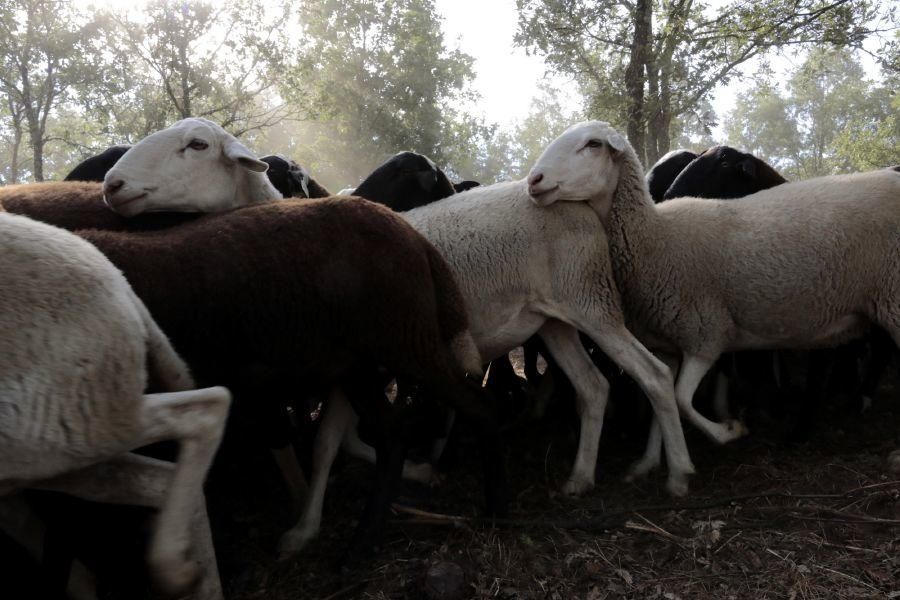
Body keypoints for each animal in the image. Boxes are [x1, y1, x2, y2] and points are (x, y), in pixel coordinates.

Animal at [1, 213, 232, 596]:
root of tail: (116, 279)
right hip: (62, 441)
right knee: (156, 482)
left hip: (65, 421)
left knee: (208, 410)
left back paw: (173, 570)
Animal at [524, 122, 900, 476]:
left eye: (593, 144)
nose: (534, 180)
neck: (655, 234)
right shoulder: (670, 344)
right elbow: (663, 397)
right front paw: (650, 462)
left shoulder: (705, 334)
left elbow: (681, 399)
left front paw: (729, 430)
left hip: (891, 298)